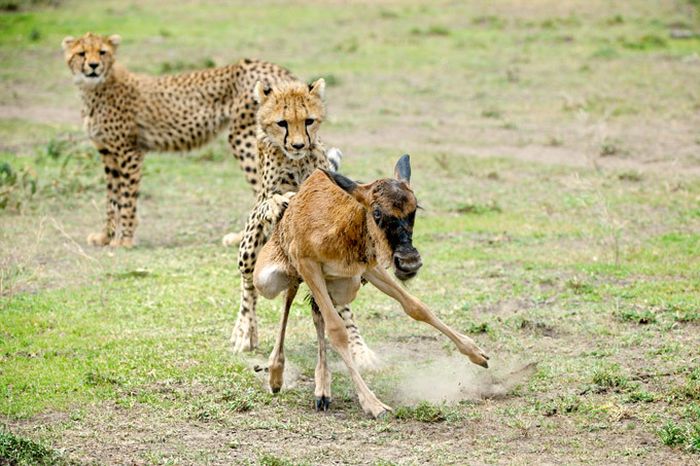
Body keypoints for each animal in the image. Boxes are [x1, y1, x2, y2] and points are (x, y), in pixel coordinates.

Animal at [63, 32, 296, 248]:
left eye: (102, 52)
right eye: (81, 53)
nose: (93, 66)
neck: (94, 89)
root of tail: (278, 69)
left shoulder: (129, 151)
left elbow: (127, 197)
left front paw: (125, 240)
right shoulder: (108, 154)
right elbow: (112, 199)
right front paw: (105, 236)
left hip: (242, 138)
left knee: (262, 190)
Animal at [232, 78, 378, 368]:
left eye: (309, 121)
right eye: (282, 122)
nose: (299, 145)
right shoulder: (264, 199)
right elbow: (271, 200)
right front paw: (278, 202)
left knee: (342, 303)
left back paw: (358, 347)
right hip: (251, 246)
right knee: (248, 285)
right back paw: (245, 332)